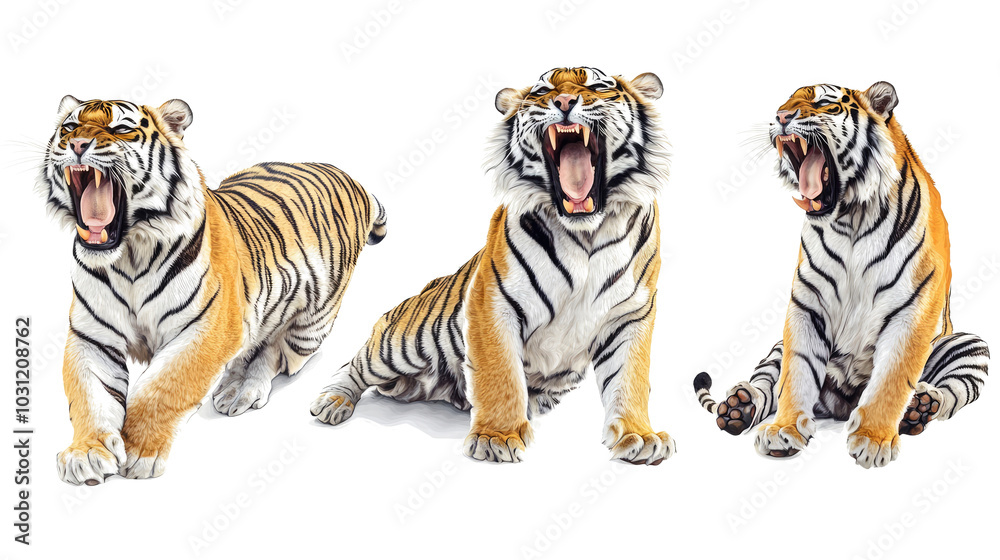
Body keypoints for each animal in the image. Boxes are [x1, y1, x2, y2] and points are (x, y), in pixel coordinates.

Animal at [38, 96, 387, 484]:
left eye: (121, 129)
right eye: (69, 127)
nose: (76, 145)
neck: (129, 256)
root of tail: (348, 177)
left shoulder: (208, 328)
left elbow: (162, 386)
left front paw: (140, 451)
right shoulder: (91, 336)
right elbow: (90, 394)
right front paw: (87, 453)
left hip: (313, 323)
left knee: (275, 351)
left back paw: (241, 391)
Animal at [310, 67, 675, 465]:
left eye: (597, 87)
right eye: (542, 92)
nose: (563, 102)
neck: (585, 233)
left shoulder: (632, 313)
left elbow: (629, 377)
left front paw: (639, 435)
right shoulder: (493, 303)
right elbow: (501, 373)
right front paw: (496, 437)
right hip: (399, 344)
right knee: (353, 364)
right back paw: (331, 402)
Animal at [692, 82, 989, 468]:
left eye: (824, 104)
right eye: (784, 103)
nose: (780, 117)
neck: (850, 219)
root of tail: (839, 406)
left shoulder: (913, 309)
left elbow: (892, 379)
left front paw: (873, 440)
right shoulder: (807, 305)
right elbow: (797, 372)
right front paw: (783, 431)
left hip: (967, 344)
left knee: (952, 390)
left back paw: (921, 407)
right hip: (776, 348)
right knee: (767, 382)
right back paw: (738, 407)